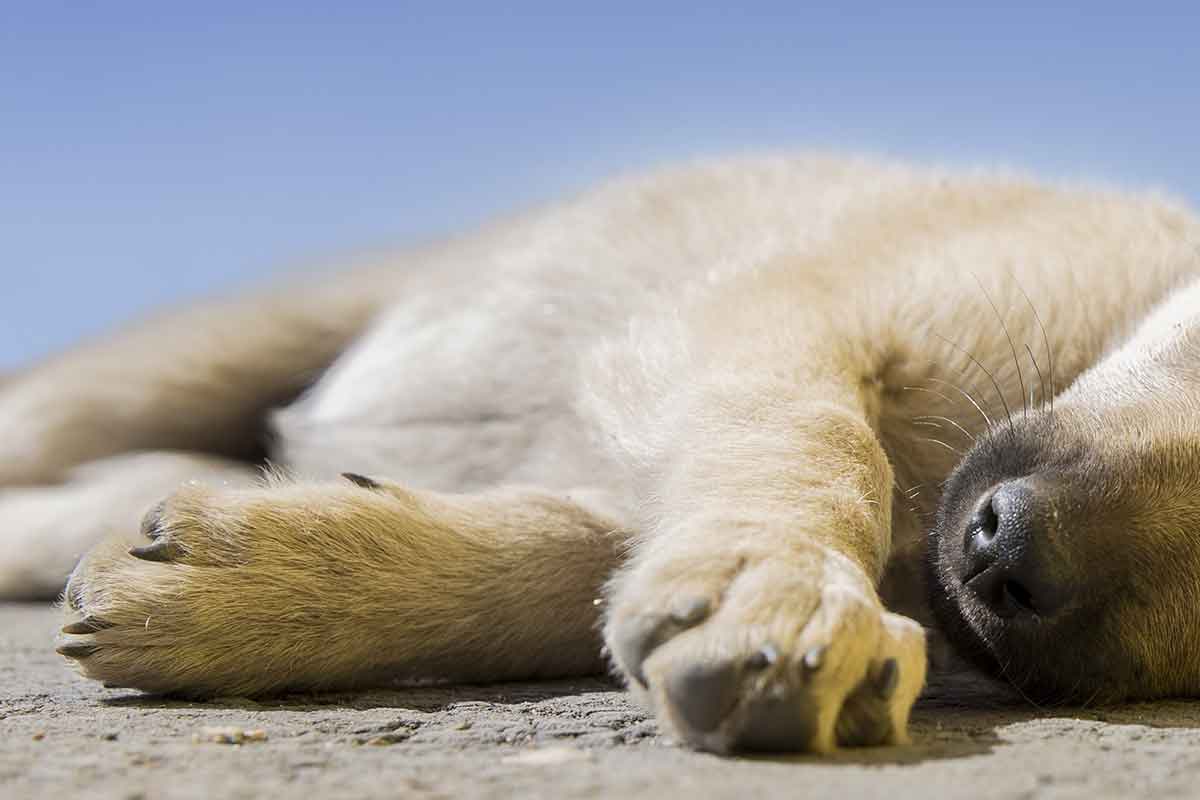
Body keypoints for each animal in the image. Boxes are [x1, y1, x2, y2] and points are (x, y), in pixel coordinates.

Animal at [2, 154, 1200, 758]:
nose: (1007, 555)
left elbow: (561, 554)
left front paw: (273, 588)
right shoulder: (776, 312)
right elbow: (818, 443)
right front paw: (782, 589)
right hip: (180, 358)